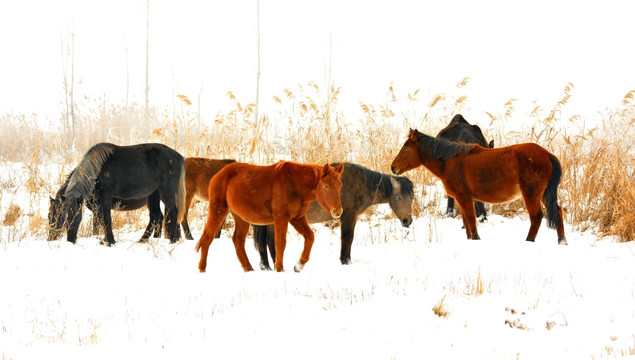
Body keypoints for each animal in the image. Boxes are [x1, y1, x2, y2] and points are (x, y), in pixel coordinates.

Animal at [47, 142, 186, 246]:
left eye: (75, 216)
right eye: (50, 215)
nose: (70, 240)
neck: (98, 169)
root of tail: (179, 157)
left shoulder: (105, 196)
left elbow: (106, 218)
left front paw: (110, 241)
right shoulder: (97, 203)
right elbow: (99, 221)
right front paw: (104, 239)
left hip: (166, 192)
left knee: (173, 212)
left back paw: (172, 240)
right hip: (153, 195)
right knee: (156, 216)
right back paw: (143, 240)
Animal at [196, 161, 346, 272]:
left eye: (340, 186)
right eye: (326, 186)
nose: (337, 211)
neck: (294, 184)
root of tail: (217, 175)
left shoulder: (297, 218)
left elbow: (310, 237)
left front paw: (299, 264)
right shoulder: (281, 218)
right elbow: (280, 243)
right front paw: (279, 268)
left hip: (241, 217)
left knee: (238, 240)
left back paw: (249, 269)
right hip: (218, 210)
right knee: (207, 237)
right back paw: (202, 269)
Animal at [253, 162, 418, 268]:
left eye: (412, 197)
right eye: (400, 197)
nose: (407, 221)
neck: (362, 183)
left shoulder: (352, 217)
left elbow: (349, 239)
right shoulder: (348, 216)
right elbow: (347, 238)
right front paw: (345, 261)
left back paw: (266, 266)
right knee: (270, 241)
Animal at [392, 129, 568, 245]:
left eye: (406, 148)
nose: (393, 167)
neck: (450, 162)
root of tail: (547, 155)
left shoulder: (464, 198)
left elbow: (471, 221)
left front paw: (476, 239)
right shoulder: (462, 199)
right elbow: (467, 222)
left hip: (531, 194)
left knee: (536, 217)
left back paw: (528, 241)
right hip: (544, 194)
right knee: (558, 212)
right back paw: (562, 241)